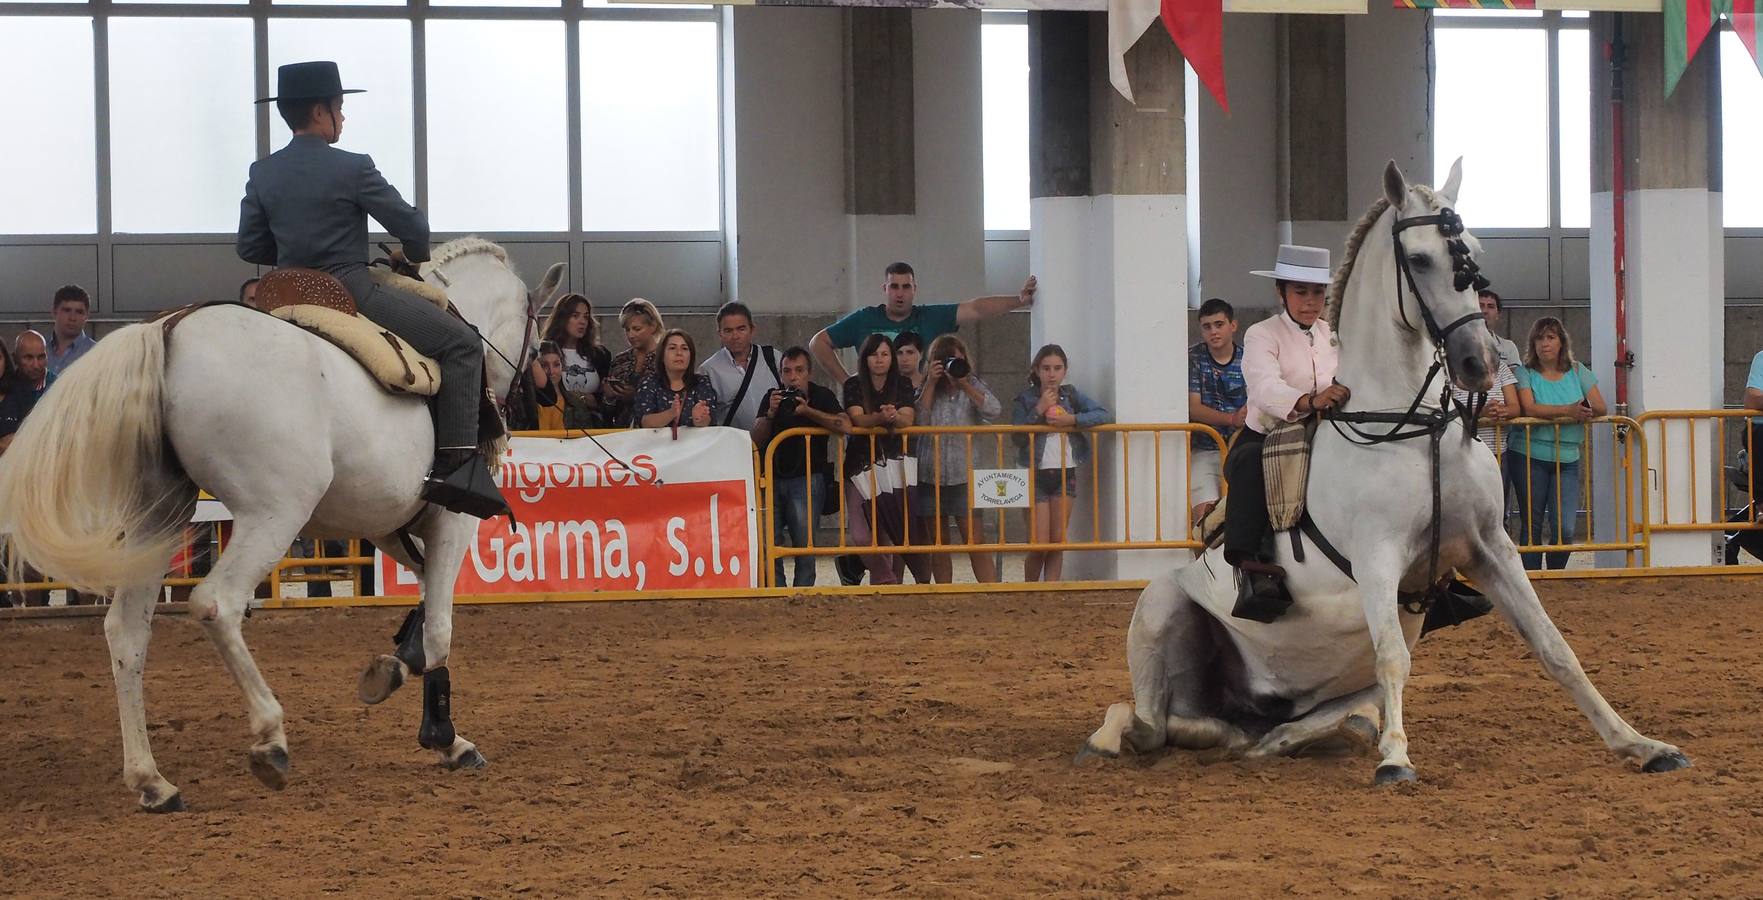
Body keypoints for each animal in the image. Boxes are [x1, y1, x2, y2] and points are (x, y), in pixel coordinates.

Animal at [0, 236, 564, 808]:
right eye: (539, 343)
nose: (528, 397)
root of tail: (170, 327)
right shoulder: (450, 521)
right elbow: (441, 626)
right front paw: (445, 738)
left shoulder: (387, 525)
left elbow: (425, 603)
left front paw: (391, 669)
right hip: (272, 515)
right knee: (216, 604)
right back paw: (269, 738)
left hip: (156, 523)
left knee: (127, 631)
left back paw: (151, 780)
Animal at [1078, 165, 1685, 783]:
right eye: (1418, 259)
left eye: (1474, 254)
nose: (1479, 364)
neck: (1411, 426)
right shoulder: (1378, 557)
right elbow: (1393, 656)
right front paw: (1396, 759)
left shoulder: (1492, 548)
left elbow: (1556, 649)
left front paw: (1641, 745)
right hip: (1160, 610)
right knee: (1146, 721)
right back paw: (1113, 741)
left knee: (1307, 721)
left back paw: (1279, 739)